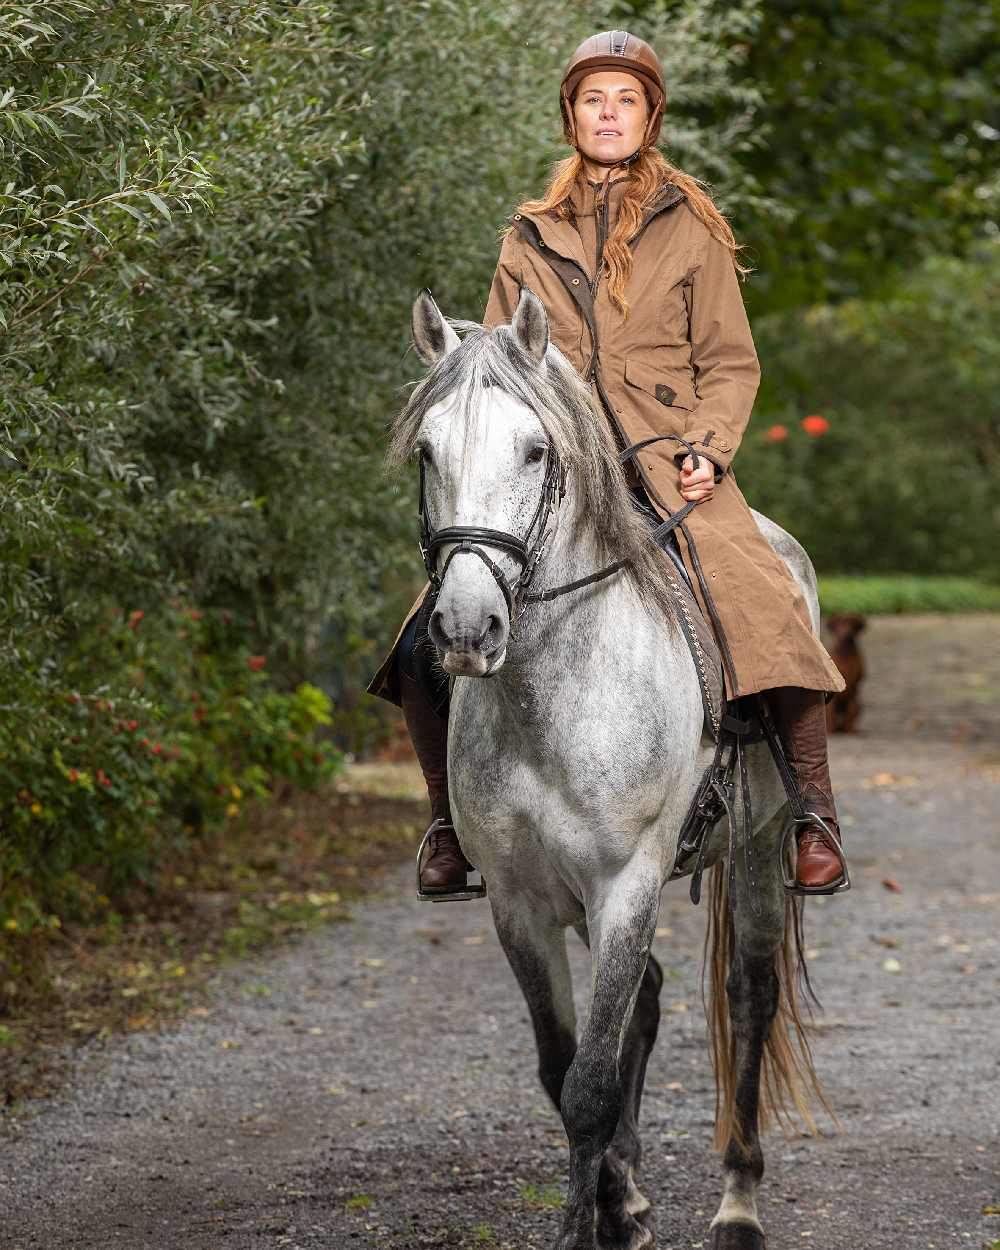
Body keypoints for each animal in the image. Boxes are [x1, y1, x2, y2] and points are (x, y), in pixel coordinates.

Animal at [390, 287, 830, 1245]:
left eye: (535, 449)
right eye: (428, 451)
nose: (467, 630)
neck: (548, 701)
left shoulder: (626, 884)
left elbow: (590, 1083)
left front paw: (582, 1226)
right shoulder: (520, 903)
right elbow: (563, 1071)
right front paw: (611, 1206)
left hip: (758, 847)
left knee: (748, 995)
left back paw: (738, 1203)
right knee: (649, 1001)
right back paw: (628, 1192)